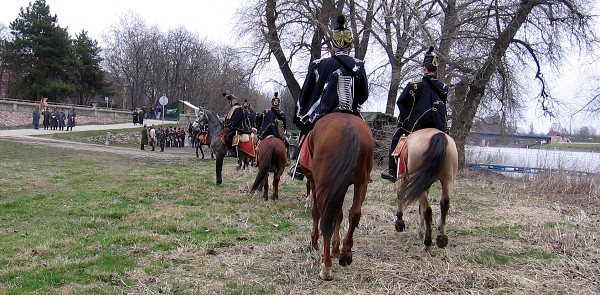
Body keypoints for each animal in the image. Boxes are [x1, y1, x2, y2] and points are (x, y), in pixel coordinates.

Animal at [302, 112, 372, 280]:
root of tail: (348, 126)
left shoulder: (314, 182)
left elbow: (316, 213)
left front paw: (314, 242)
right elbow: (339, 214)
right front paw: (336, 248)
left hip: (323, 183)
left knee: (325, 218)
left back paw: (326, 266)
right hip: (361, 182)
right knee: (355, 213)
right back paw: (346, 252)